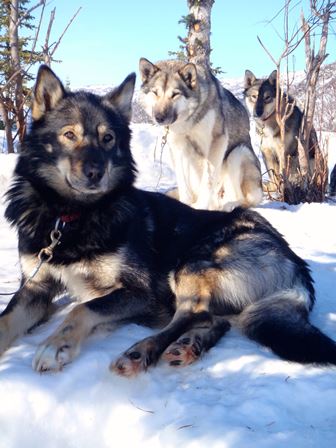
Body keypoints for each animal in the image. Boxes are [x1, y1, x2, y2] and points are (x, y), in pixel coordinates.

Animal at [138, 57, 262, 212]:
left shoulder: (217, 141)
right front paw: (185, 204)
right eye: (155, 92)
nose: (159, 117)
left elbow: (208, 179)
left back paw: (230, 205)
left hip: (238, 153)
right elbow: (182, 182)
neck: (188, 121)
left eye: (175, 94)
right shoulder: (178, 146)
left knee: (243, 199)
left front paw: (200, 206)